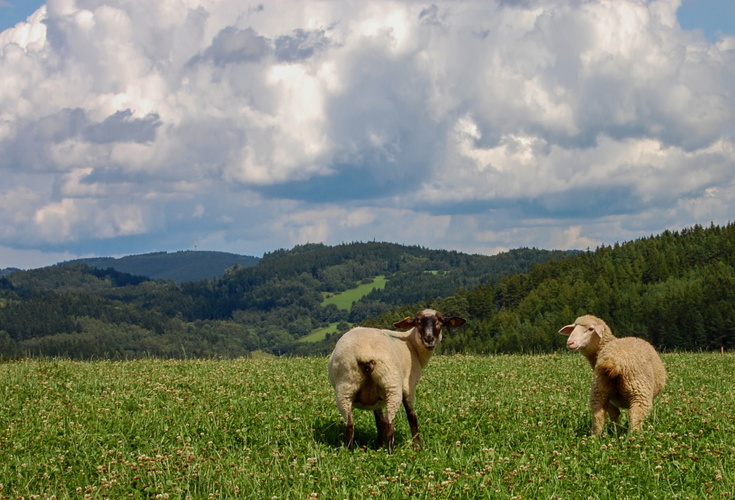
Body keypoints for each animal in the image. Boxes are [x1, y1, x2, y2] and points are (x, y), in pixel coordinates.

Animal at [330, 308, 466, 450]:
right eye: (418, 322)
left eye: (440, 321)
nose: (429, 339)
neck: (411, 343)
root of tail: (364, 353)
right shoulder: (409, 386)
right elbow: (412, 416)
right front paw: (417, 446)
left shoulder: (375, 399)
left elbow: (379, 421)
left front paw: (379, 445)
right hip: (392, 386)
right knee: (389, 423)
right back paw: (392, 451)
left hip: (345, 387)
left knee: (350, 426)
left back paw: (350, 450)